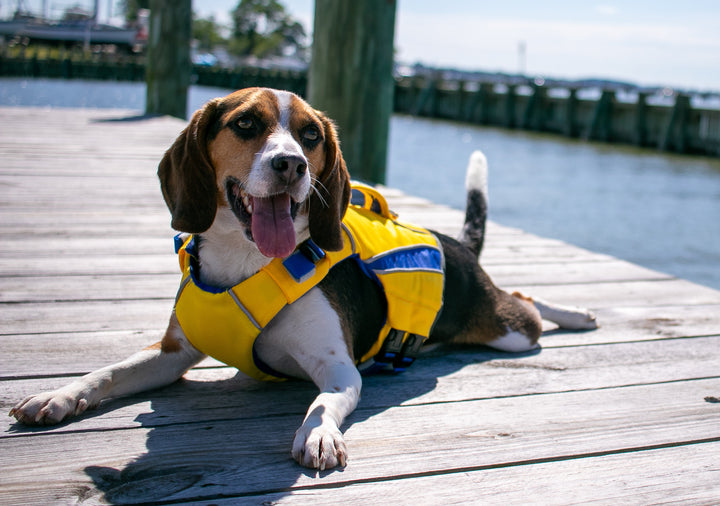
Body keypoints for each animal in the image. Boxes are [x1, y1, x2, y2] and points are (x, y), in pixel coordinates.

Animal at [9, 87, 596, 470]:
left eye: (311, 135)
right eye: (246, 124)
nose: (292, 164)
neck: (246, 260)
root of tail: (455, 245)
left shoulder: (339, 370)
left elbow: (320, 405)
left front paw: (318, 438)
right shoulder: (172, 353)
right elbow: (108, 371)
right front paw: (58, 395)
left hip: (507, 330)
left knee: (526, 302)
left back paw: (576, 314)